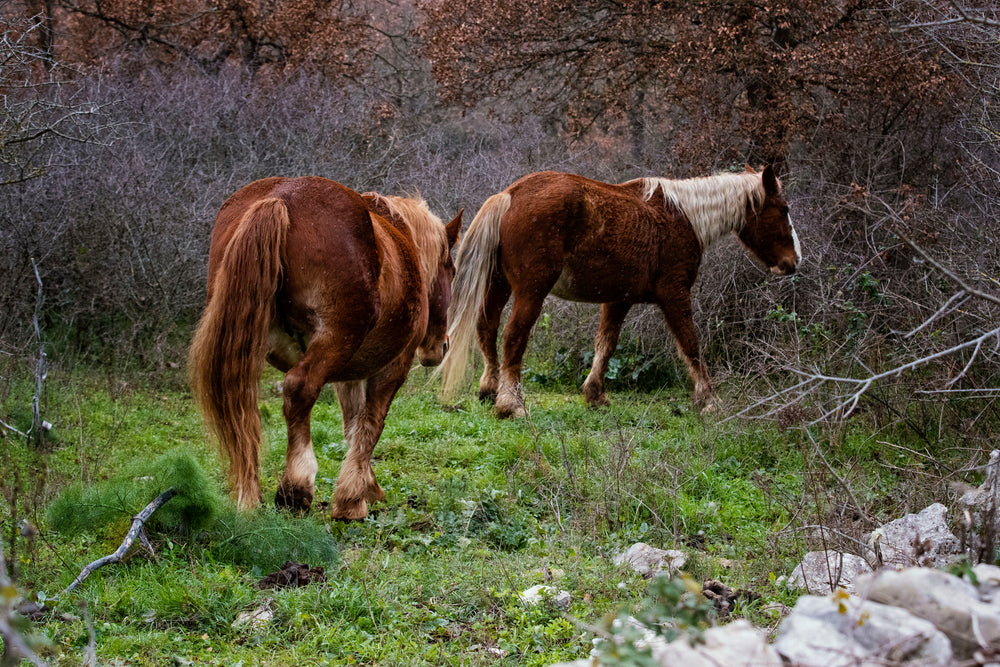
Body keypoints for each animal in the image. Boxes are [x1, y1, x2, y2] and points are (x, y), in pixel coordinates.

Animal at [189, 177, 462, 520]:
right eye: (451, 270)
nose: (441, 346)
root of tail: (280, 198)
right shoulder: (392, 367)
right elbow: (371, 424)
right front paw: (352, 500)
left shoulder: (349, 373)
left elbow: (353, 424)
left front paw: (367, 487)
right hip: (332, 343)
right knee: (298, 389)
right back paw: (296, 488)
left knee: (241, 403)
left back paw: (249, 499)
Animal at [442, 166, 800, 418]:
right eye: (783, 210)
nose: (793, 262)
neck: (683, 217)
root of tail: (510, 195)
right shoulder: (674, 295)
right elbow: (691, 345)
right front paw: (709, 400)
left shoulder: (618, 300)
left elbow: (606, 345)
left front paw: (595, 394)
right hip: (531, 293)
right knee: (513, 337)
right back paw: (511, 404)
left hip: (499, 286)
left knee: (486, 329)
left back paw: (490, 390)